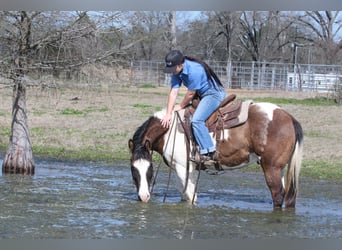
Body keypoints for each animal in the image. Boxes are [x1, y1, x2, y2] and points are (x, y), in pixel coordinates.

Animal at [127, 94, 302, 208]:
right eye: (133, 170)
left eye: (149, 170)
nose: (143, 197)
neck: (170, 130)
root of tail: (289, 117)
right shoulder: (184, 169)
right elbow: (185, 195)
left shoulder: (184, 168)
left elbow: (191, 197)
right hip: (280, 168)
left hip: (271, 167)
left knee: (277, 195)